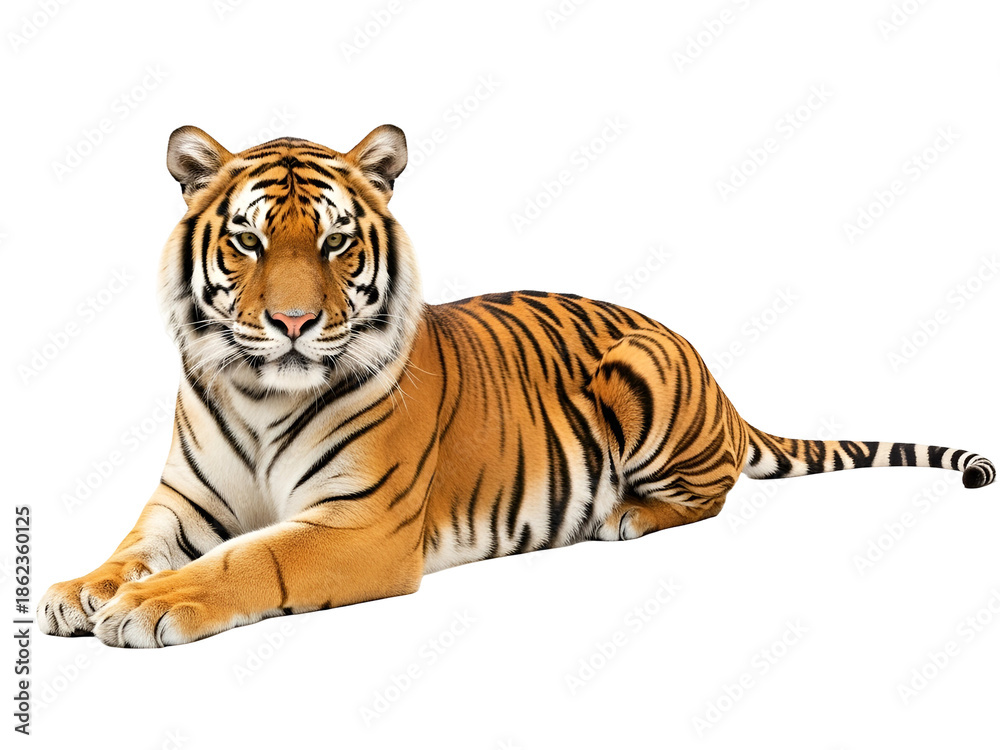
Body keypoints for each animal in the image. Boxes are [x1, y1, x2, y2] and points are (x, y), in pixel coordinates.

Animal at [38, 124, 995, 648]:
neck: (261, 394)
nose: (294, 323)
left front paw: (152, 605)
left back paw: (626, 516)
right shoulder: (184, 503)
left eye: (337, 243)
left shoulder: (360, 526)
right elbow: (131, 547)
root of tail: (715, 377)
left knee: (714, 490)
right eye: (249, 242)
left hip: (639, 375)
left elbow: (252, 559)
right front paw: (80, 591)